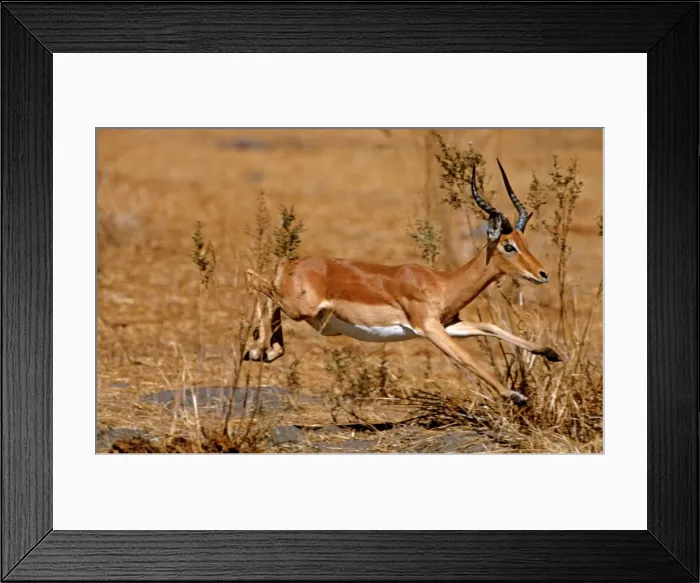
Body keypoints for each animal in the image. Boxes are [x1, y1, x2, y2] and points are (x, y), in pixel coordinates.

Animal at [244, 160, 561, 405]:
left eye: (524, 242)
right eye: (508, 246)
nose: (542, 274)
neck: (442, 283)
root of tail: (295, 265)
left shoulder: (449, 324)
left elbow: (490, 327)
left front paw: (550, 352)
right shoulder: (429, 327)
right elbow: (467, 359)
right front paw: (514, 395)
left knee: (263, 284)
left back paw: (264, 351)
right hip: (299, 307)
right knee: (253, 277)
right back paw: (258, 349)